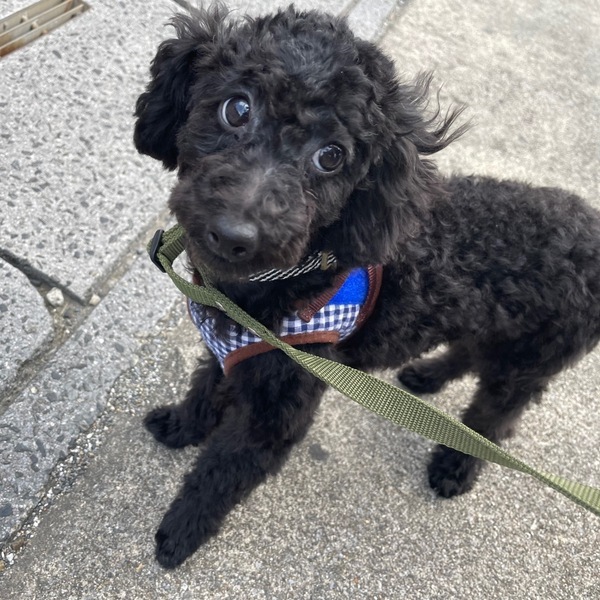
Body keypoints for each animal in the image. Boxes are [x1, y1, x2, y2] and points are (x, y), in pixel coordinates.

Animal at [133, 4, 600, 568]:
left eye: (331, 156)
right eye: (236, 109)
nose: (234, 234)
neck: (282, 282)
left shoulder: (278, 406)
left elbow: (221, 471)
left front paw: (180, 532)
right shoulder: (234, 351)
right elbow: (204, 388)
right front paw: (180, 426)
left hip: (529, 361)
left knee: (495, 417)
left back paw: (455, 465)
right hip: (494, 331)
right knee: (468, 352)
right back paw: (426, 377)